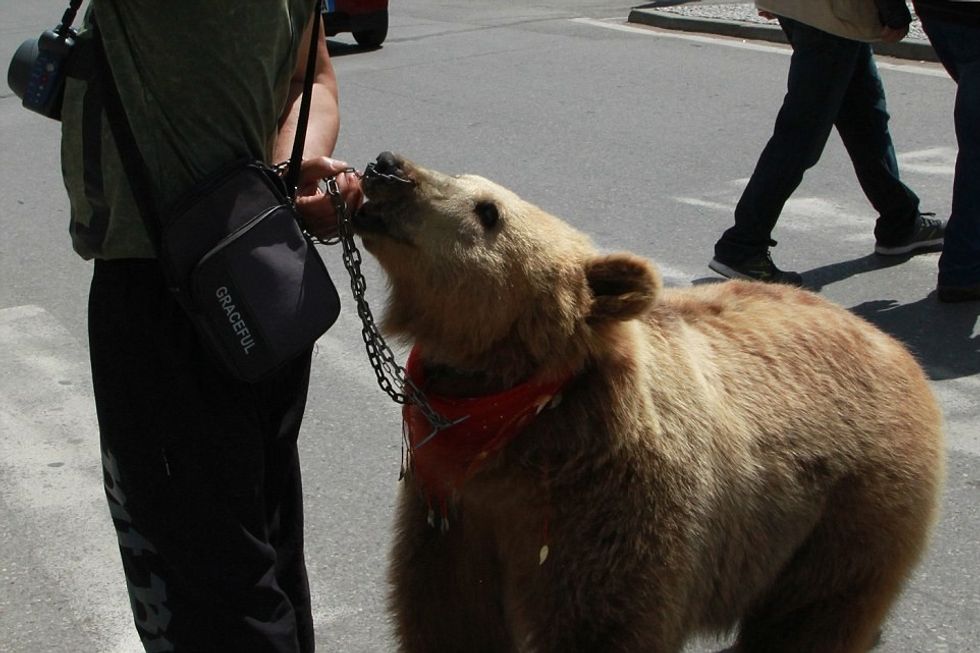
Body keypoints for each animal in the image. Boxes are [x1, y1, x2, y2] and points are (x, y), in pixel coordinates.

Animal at [352, 152, 945, 653]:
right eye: (462, 176)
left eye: (488, 210)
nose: (387, 167)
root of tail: (898, 348)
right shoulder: (457, 512)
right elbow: (448, 613)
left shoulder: (607, 505)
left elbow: (602, 620)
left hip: (849, 512)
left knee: (810, 620)